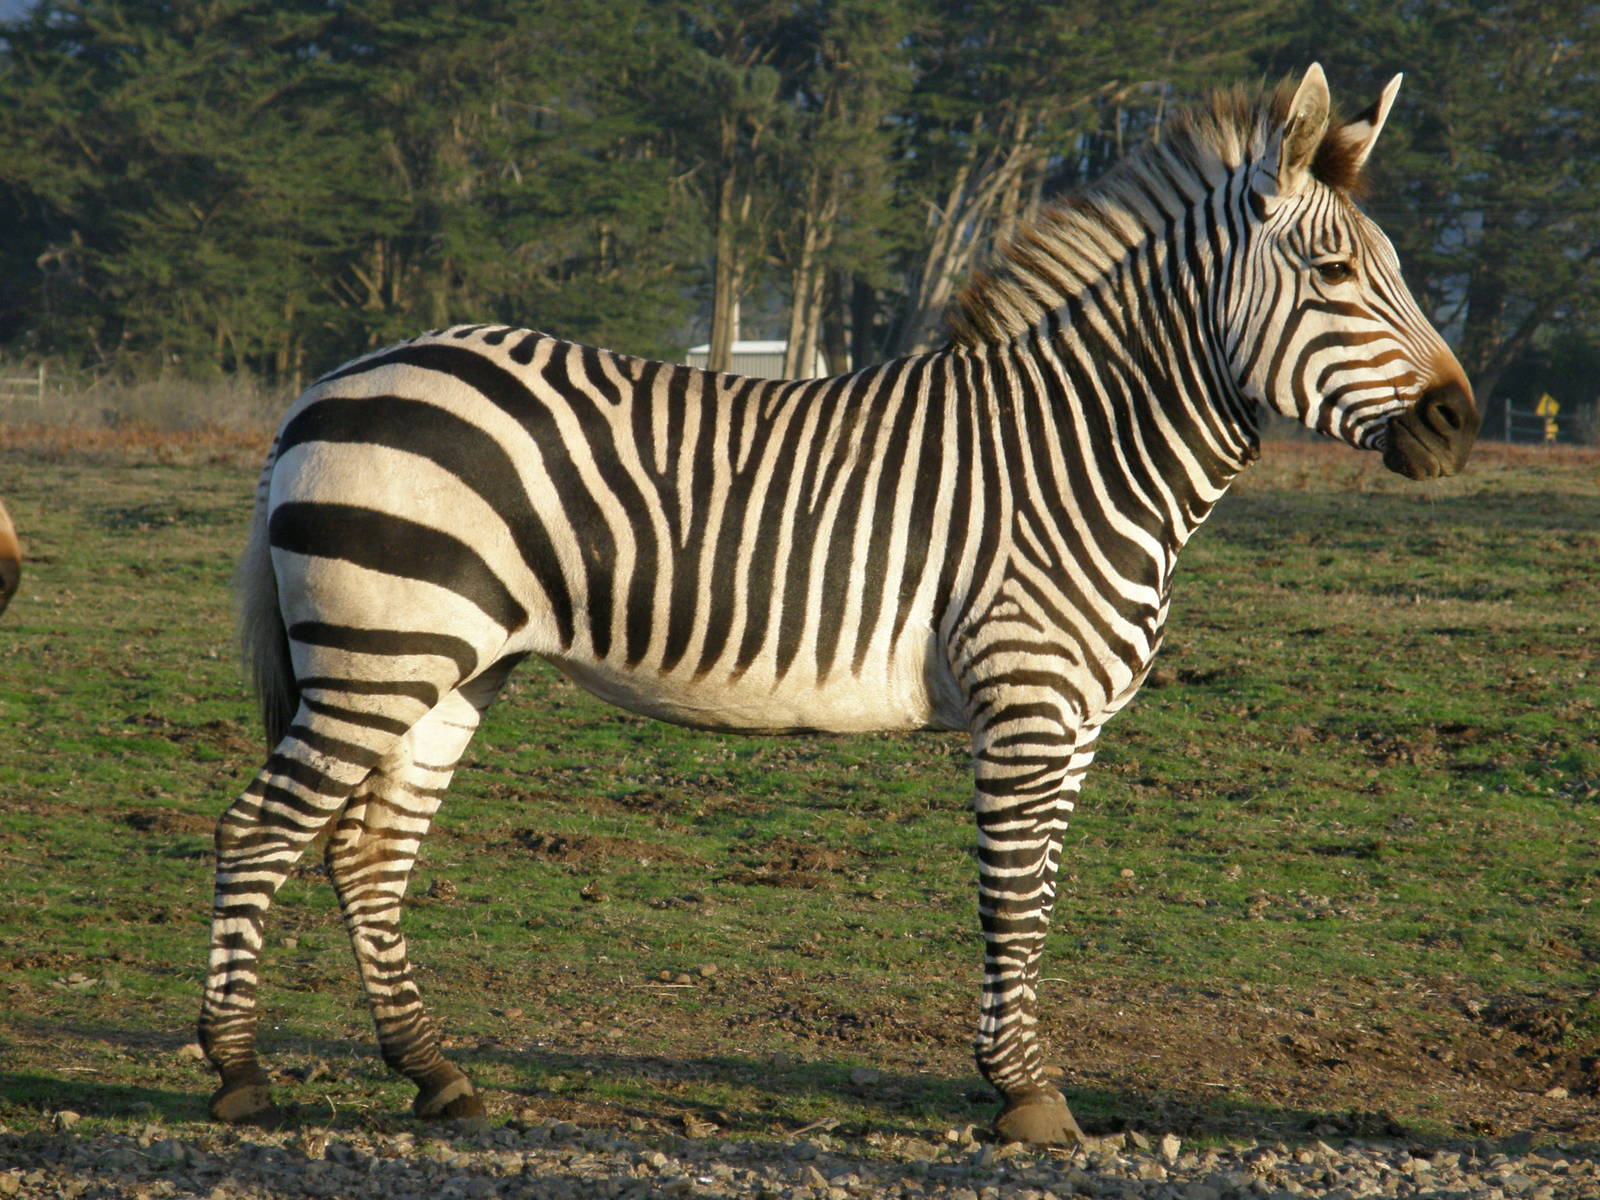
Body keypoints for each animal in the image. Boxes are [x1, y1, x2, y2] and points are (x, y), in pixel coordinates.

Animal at [199, 65, 1478, 1145]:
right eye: (1332, 276)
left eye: (1395, 269)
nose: (1458, 423)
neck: (1081, 452)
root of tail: (332, 380)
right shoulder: (1026, 708)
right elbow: (1011, 903)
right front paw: (1027, 1101)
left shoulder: (1073, 729)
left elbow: (1040, 898)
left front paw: (1018, 1081)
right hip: (379, 651)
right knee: (260, 830)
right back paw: (239, 1075)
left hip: (447, 665)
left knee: (366, 853)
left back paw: (436, 1074)